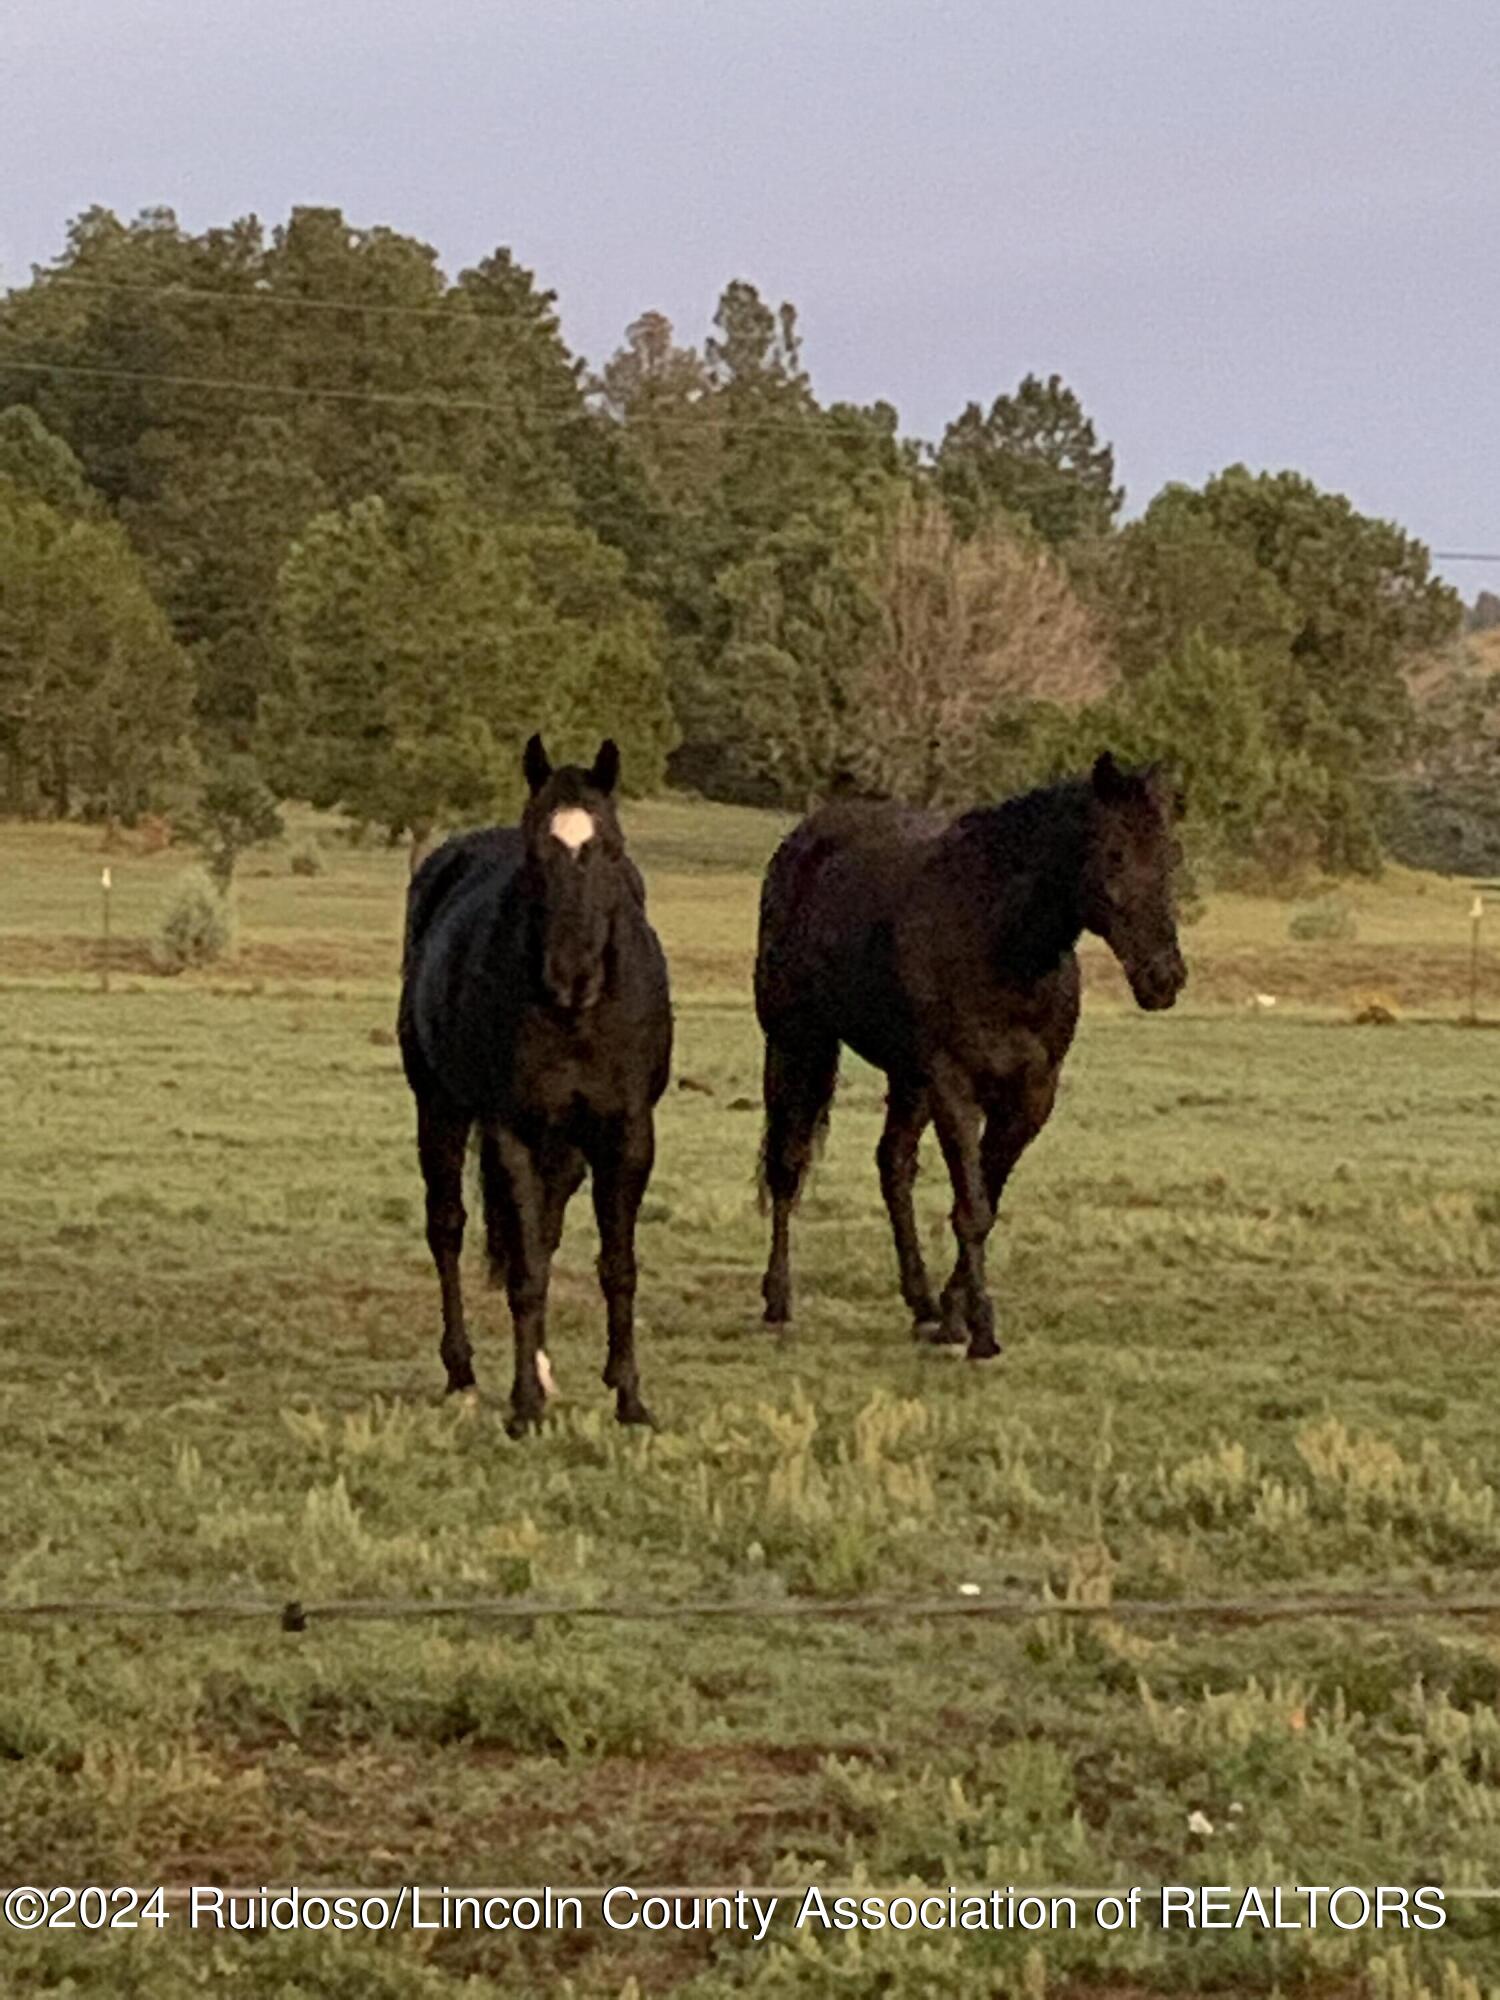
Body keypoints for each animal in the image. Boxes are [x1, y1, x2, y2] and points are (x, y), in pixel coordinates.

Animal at [396, 744, 672, 1432]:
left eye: (611, 847)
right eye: (535, 851)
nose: (570, 973)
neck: (576, 1019)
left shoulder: (627, 1133)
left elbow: (616, 1267)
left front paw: (630, 1398)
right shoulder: (511, 1133)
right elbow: (523, 1272)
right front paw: (523, 1408)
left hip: (565, 1147)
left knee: (543, 1233)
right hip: (439, 1109)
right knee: (447, 1226)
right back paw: (463, 1374)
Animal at [756, 752, 1192, 1360]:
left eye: (1170, 854)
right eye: (1114, 854)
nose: (1164, 979)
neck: (996, 942)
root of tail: (803, 839)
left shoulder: (1030, 1096)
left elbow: (986, 1200)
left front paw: (951, 1316)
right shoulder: (952, 1084)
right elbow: (972, 1207)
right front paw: (981, 1330)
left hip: (905, 1077)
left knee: (892, 1165)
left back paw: (919, 1304)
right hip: (796, 1042)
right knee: (787, 1163)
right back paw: (777, 1301)